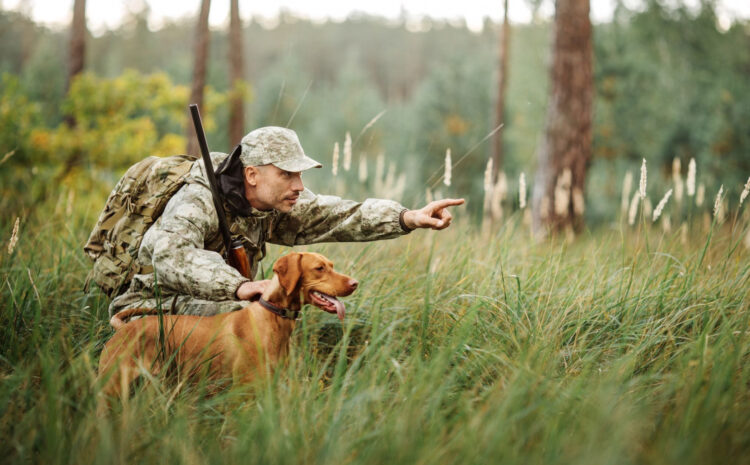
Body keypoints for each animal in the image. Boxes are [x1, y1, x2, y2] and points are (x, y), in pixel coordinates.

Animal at [97, 252, 358, 400]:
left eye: (331, 265)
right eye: (319, 268)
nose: (355, 283)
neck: (272, 317)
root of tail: (123, 328)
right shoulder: (244, 393)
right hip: (111, 387)